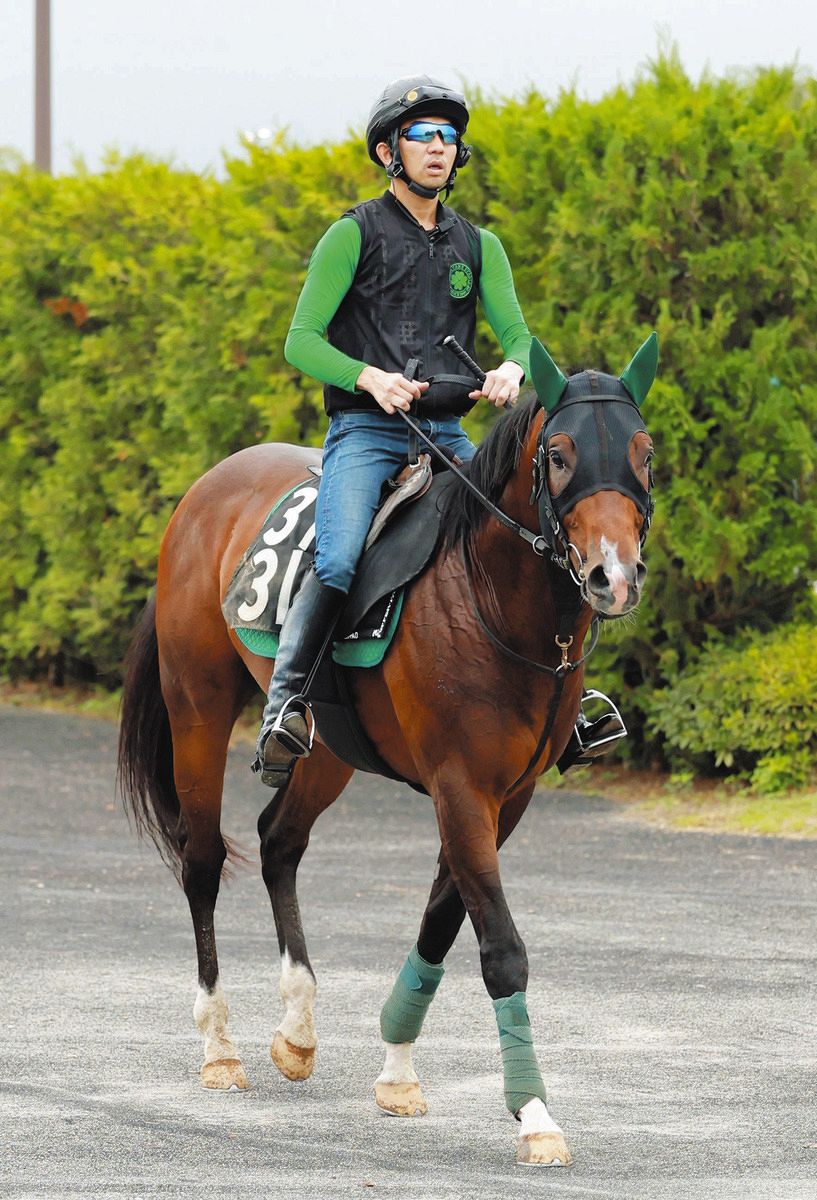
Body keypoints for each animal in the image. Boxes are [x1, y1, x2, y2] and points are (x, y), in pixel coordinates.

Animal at [117, 333, 657, 1167]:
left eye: (644, 451)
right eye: (559, 455)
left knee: (278, 841)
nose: (611, 575)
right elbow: (498, 945)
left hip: (328, 748)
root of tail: (206, 489)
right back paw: (219, 1047)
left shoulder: (506, 796)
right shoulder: (459, 785)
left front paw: (397, 1070)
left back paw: (297, 1030)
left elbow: (441, 921)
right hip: (197, 708)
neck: (488, 597)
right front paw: (533, 1112)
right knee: (202, 859)